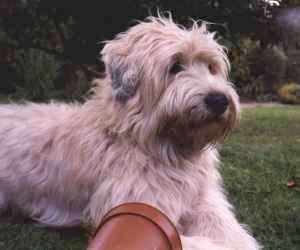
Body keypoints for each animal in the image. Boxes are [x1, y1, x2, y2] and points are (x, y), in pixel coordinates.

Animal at [0, 16, 260, 249]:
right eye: (175, 66)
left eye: (211, 67)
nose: (219, 100)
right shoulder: (139, 212)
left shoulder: (204, 202)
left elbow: (231, 232)